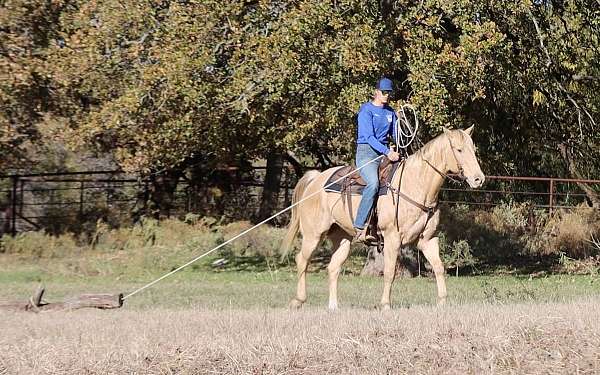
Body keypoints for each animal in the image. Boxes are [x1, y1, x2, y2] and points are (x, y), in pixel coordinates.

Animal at [280, 128, 482, 310]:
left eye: (473, 149)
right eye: (459, 150)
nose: (478, 179)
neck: (415, 183)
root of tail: (315, 180)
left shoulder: (428, 239)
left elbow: (439, 267)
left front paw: (442, 302)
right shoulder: (392, 238)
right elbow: (390, 272)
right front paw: (385, 304)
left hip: (342, 238)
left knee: (333, 267)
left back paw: (333, 306)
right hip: (313, 234)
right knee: (302, 260)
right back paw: (298, 300)